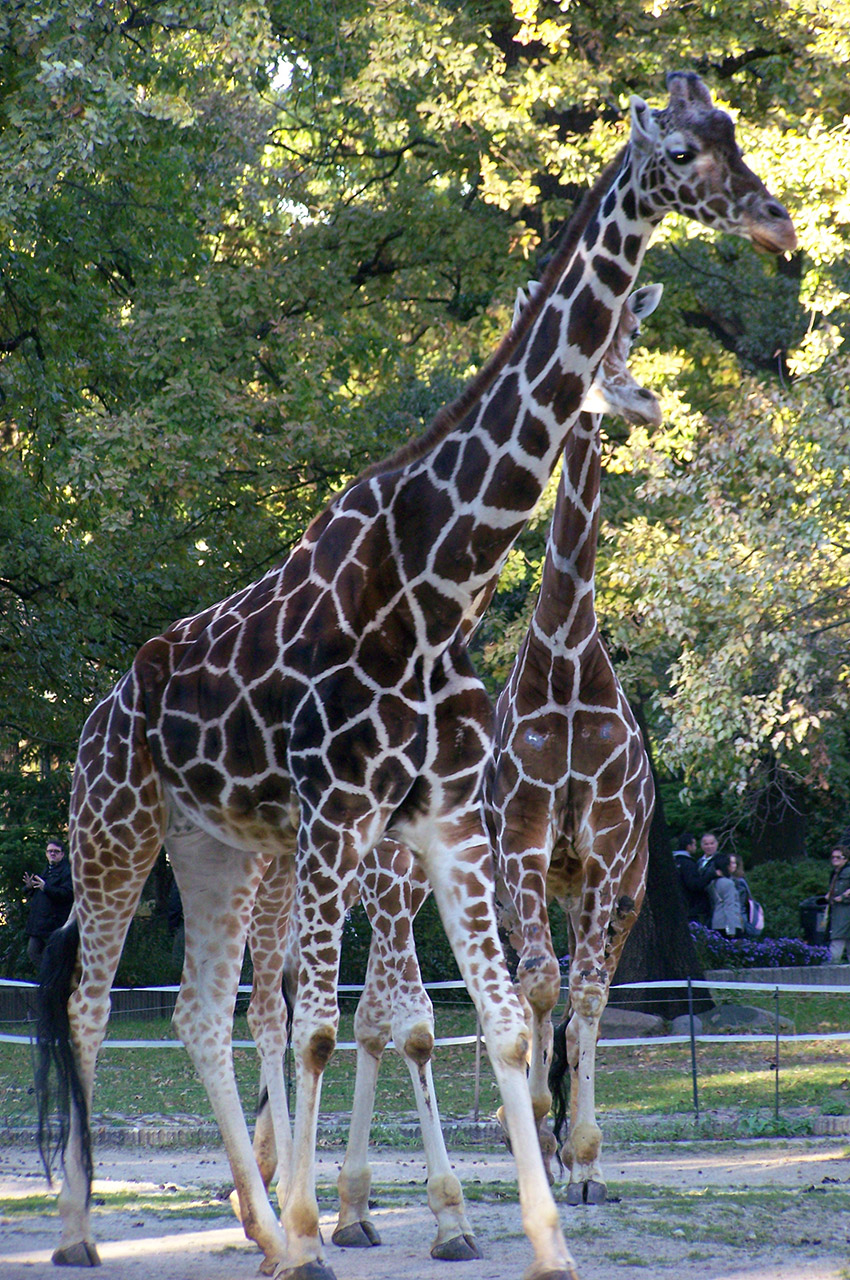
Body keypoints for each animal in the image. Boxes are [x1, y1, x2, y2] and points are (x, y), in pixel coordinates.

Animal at [232, 280, 665, 1259]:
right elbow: (454, 1008)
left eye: (636, 331)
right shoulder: (509, 844)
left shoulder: (603, 847)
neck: (569, 664)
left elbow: (571, 993)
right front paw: (504, 1155)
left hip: (605, 885)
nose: (607, 400)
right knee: (335, 1006)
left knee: (570, 989)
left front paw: (577, 1157)